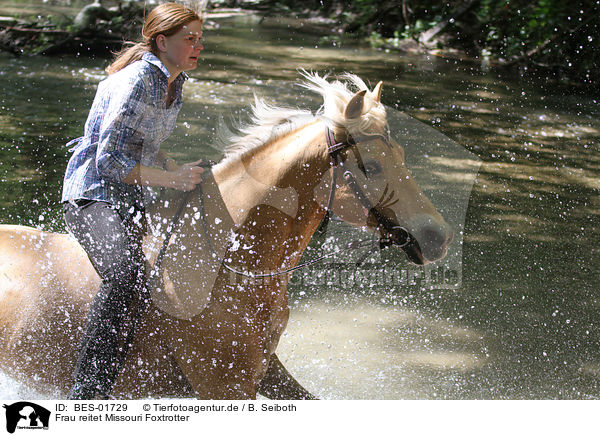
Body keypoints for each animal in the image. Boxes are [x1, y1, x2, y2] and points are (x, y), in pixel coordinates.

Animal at [0, 72, 450, 398]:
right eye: (371, 166)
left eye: (402, 156)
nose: (438, 237)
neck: (227, 264)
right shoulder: (224, 384)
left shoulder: (264, 370)